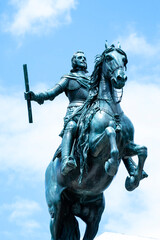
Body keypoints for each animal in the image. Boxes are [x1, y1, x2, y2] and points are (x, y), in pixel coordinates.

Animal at [44, 43, 148, 240]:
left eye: (124, 59)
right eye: (108, 58)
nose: (121, 78)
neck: (111, 110)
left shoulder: (127, 146)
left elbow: (142, 150)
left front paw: (133, 179)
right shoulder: (91, 148)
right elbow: (110, 132)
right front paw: (111, 165)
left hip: (94, 217)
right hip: (57, 210)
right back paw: (69, 163)